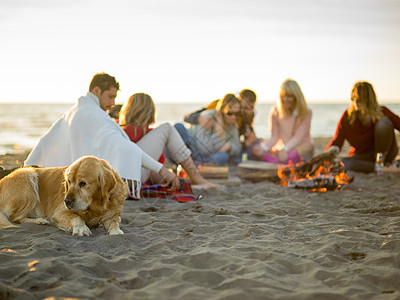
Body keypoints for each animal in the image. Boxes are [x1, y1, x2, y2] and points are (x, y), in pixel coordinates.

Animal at [0, 156, 128, 236]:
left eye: (83, 183)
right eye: (69, 181)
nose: (66, 201)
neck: (94, 207)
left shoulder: (113, 214)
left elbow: (114, 221)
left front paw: (116, 231)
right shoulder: (60, 212)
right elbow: (77, 217)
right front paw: (81, 228)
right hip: (28, 175)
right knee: (14, 218)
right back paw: (40, 220)